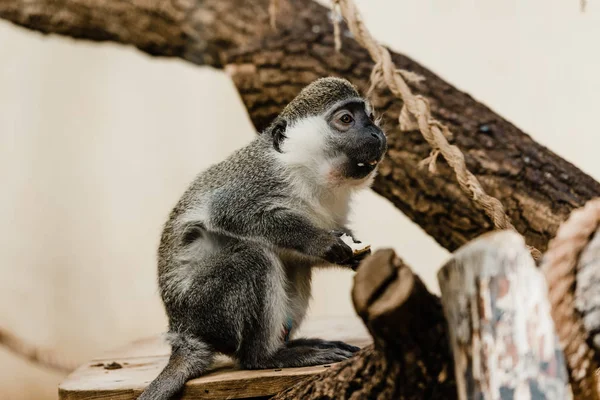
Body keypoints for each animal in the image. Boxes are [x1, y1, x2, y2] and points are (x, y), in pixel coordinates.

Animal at [138, 76, 386, 398]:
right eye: (346, 119)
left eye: (369, 116)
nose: (376, 133)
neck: (311, 174)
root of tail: (183, 333)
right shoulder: (258, 179)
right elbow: (229, 212)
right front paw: (322, 241)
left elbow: (301, 255)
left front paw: (354, 254)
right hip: (205, 308)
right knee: (254, 258)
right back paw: (266, 357)